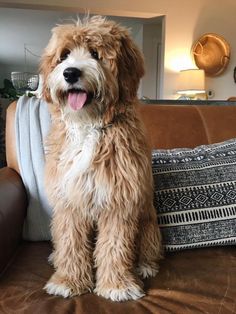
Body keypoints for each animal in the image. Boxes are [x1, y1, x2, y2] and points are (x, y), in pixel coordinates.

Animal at [41, 15, 162, 302]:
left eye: (95, 54)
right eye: (64, 55)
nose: (70, 73)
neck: (88, 126)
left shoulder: (119, 201)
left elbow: (115, 246)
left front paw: (117, 285)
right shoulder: (69, 202)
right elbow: (71, 243)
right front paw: (68, 280)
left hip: (149, 224)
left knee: (148, 249)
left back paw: (144, 266)